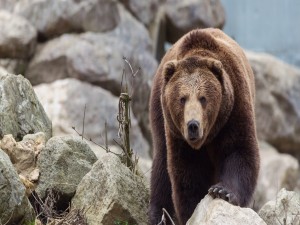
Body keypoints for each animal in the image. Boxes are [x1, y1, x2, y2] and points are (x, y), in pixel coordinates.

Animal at [149, 28, 258, 225]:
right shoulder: (177, 135)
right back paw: (158, 215)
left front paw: (222, 191)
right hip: (158, 114)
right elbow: (187, 171)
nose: (193, 125)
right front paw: (192, 209)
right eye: (182, 98)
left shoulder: (234, 110)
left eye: (203, 98)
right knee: (161, 162)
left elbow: (238, 150)